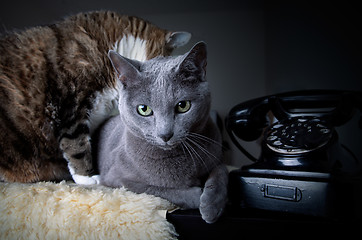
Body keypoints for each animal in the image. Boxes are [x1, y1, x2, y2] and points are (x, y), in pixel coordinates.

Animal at [94, 41, 228, 223]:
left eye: (183, 106)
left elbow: (222, 172)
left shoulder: (217, 156)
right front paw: (197, 195)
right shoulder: (116, 179)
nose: (165, 134)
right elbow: (157, 189)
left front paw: (212, 205)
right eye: (143, 109)